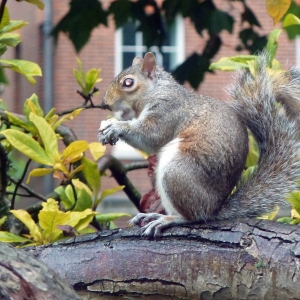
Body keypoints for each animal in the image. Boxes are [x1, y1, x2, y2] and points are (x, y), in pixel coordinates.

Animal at [99, 52, 300, 237]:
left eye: (128, 82)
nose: (106, 104)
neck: (158, 90)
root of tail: (213, 209)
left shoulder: (168, 111)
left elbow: (152, 136)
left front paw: (116, 126)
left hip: (177, 171)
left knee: (193, 216)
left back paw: (169, 219)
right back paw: (153, 216)